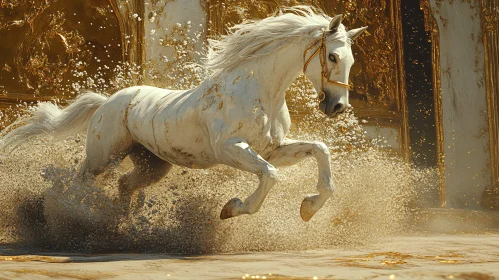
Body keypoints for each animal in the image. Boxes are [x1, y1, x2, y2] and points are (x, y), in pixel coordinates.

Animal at [0, 5, 368, 222]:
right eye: (333, 57)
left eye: (351, 59)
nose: (337, 107)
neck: (260, 91)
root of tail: (106, 102)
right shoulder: (230, 149)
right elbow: (271, 176)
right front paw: (232, 209)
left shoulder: (272, 149)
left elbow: (319, 150)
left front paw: (309, 207)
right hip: (101, 157)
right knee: (80, 183)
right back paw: (75, 219)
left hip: (153, 164)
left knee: (124, 184)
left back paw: (123, 227)